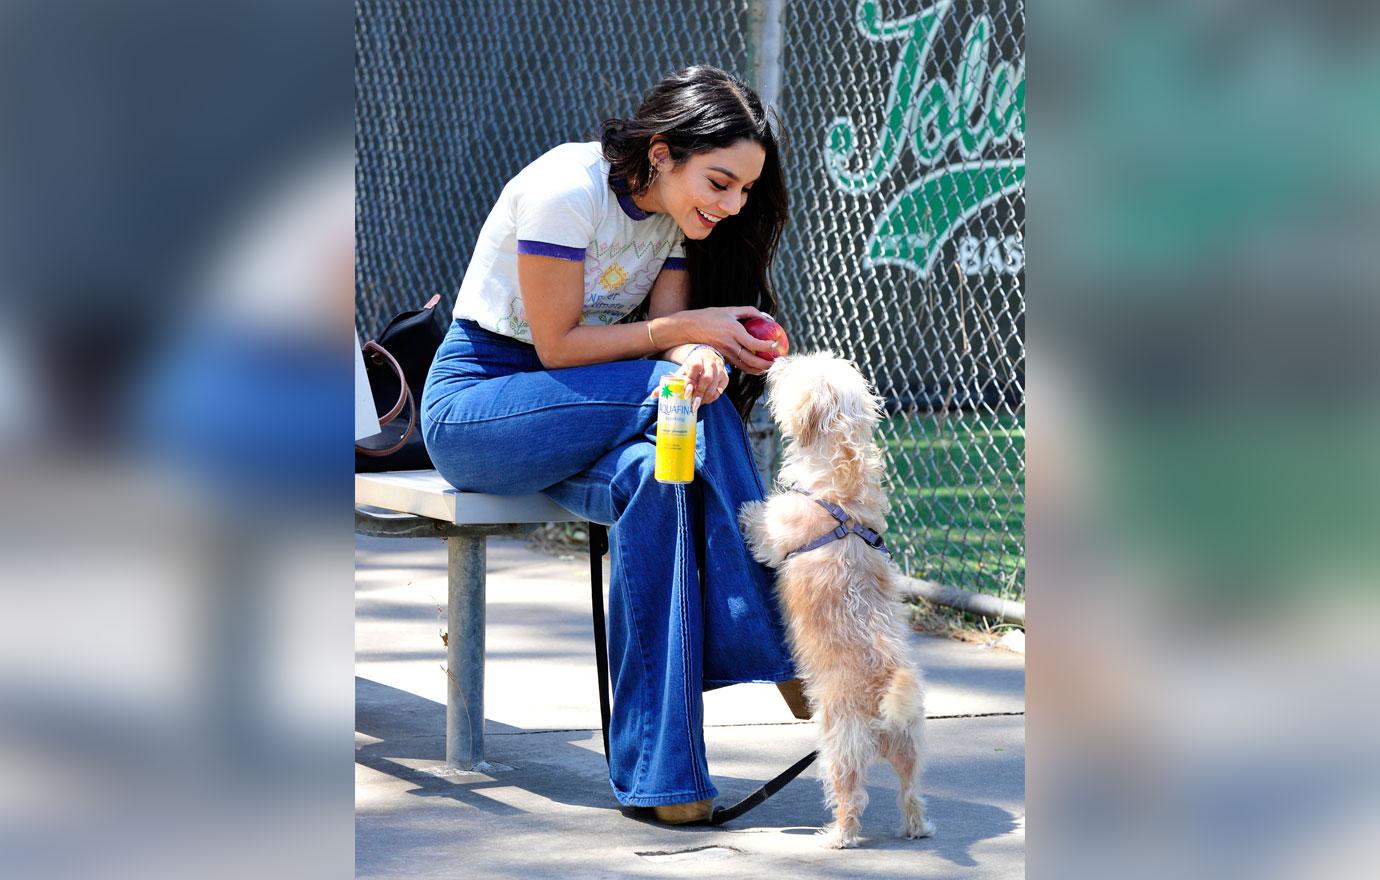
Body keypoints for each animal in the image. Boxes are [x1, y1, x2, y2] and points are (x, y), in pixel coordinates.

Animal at [739, 355, 932, 849]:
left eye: (797, 371)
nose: (778, 361)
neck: (839, 491)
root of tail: (886, 701)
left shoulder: (778, 536)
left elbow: (763, 530)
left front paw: (749, 509)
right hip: (910, 749)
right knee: (911, 793)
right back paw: (917, 828)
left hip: (839, 745)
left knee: (851, 797)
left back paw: (837, 837)